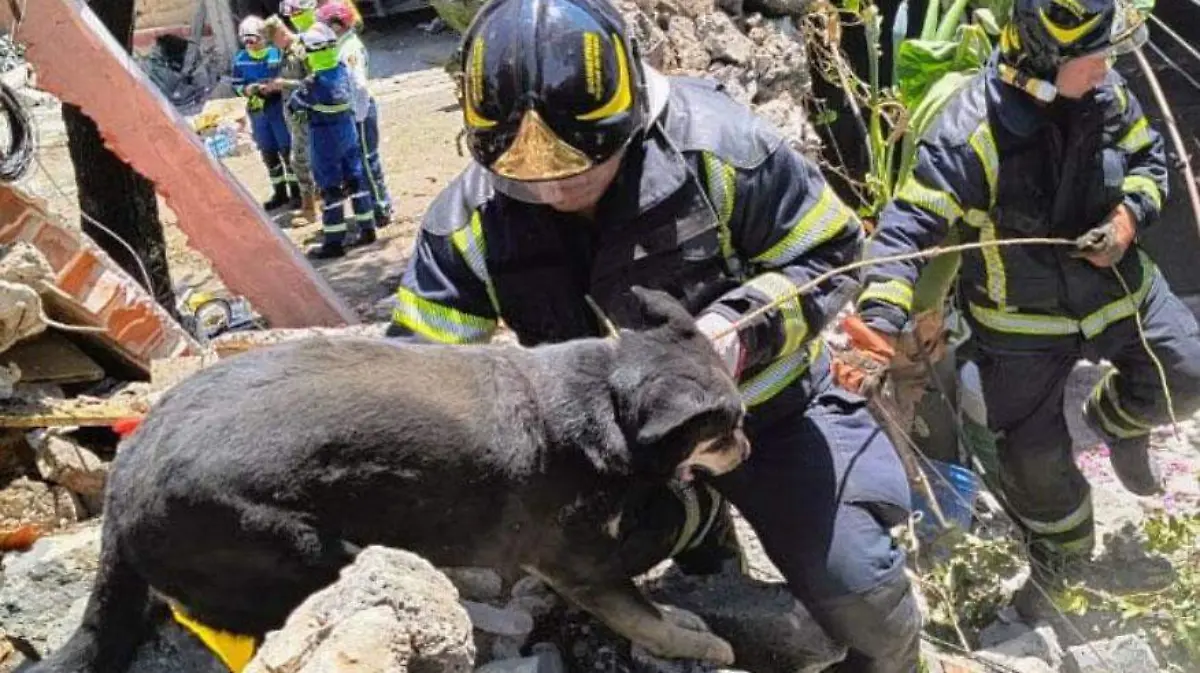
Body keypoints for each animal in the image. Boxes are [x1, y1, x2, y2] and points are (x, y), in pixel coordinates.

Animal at [30, 287, 748, 671]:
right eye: (726, 427)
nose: (745, 447)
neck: (607, 396)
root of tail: (121, 489)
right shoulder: (582, 567)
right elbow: (644, 617)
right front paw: (701, 641)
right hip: (295, 546)